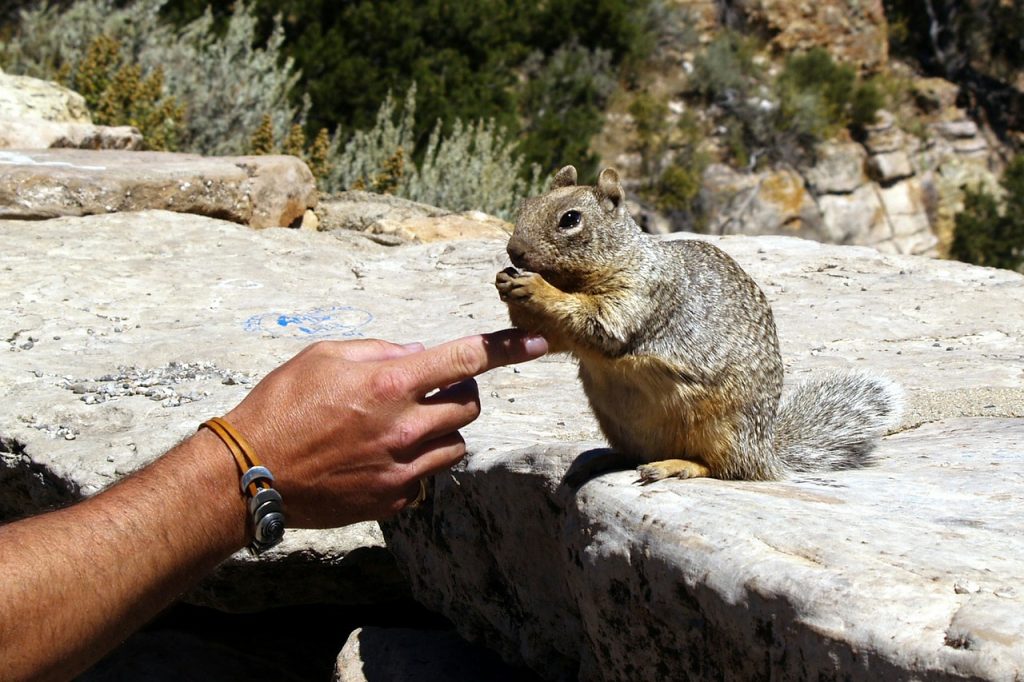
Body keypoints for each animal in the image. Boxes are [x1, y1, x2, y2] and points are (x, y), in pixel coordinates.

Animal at [495, 164, 905, 481]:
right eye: (526, 205)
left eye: (571, 219)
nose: (515, 251)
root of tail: (766, 453)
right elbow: (553, 337)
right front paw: (505, 281)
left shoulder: (643, 293)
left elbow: (601, 322)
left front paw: (535, 287)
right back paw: (603, 459)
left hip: (722, 429)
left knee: (725, 469)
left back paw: (675, 466)